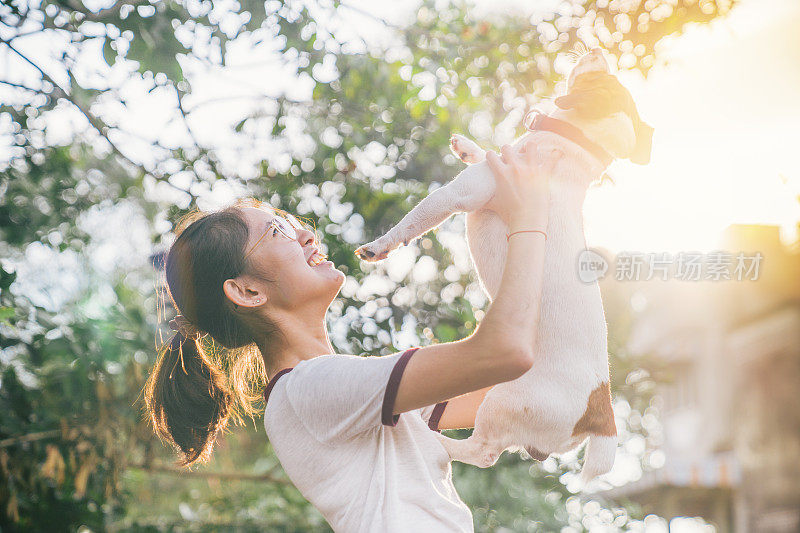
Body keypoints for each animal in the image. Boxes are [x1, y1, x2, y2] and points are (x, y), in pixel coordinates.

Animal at [354, 50, 652, 480]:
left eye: (601, 79)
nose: (598, 50)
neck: (571, 145)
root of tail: (603, 414)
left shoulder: (460, 193)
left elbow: (415, 219)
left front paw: (379, 246)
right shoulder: (496, 166)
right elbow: (490, 153)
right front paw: (467, 145)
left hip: (503, 400)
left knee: (482, 452)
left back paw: (438, 442)